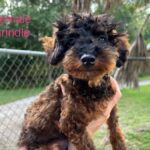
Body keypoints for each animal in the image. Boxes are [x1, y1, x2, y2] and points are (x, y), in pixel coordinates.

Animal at [18, 13, 129, 150]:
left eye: (102, 38)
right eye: (71, 41)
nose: (87, 58)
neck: (90, 85)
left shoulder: (111, 108)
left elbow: (115, 129)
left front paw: (120, 145)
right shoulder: (70, 123)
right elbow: (88, 145)